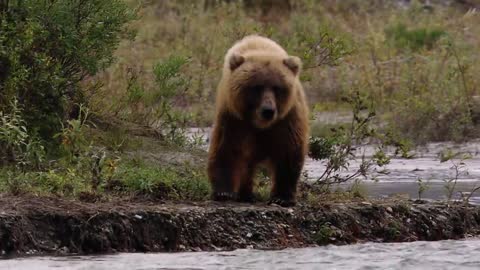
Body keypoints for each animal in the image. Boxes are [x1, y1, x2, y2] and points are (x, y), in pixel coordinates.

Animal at [208, 34, 310, 207]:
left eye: (277, 87)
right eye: (256, 86)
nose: (268, 110)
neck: (260, 124)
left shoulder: (287, 118)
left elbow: (289, 150)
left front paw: (282, 197)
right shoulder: (233, 116)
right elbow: (226, 147)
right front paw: (223, 192)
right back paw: (245, 194)